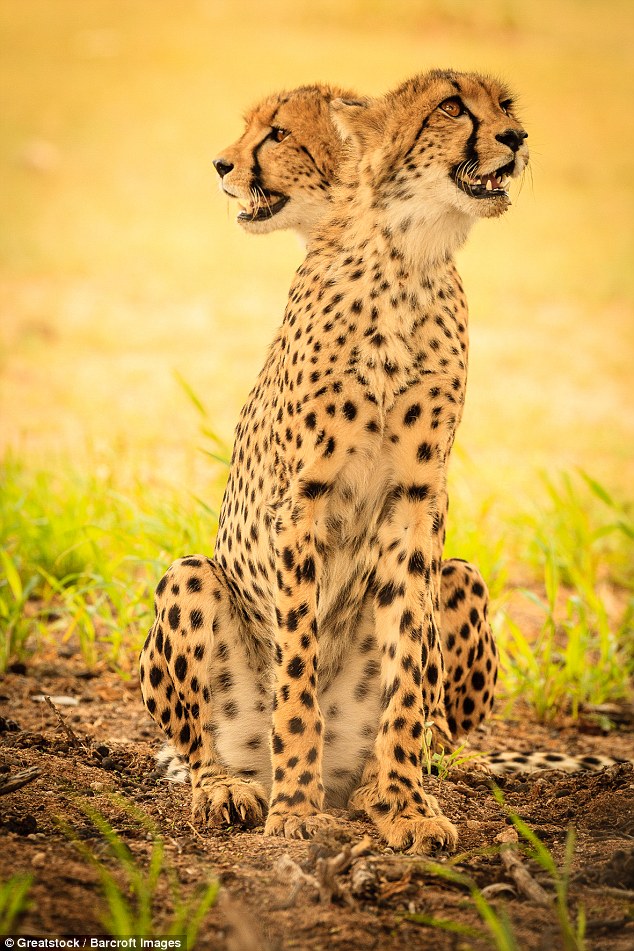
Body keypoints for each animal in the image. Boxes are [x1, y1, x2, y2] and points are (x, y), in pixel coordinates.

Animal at [139, 70, 528, 852]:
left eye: (503, 107)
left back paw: (381, 785)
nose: (516, 136)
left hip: (461, 576)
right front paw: (294, 810)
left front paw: (407, 806)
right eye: (452, 107)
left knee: (434, 717)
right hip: (192, 580)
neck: (406, 260)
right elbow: (296, 672)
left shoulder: (417, 500)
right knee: (198, 745)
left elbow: (409, 666)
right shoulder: (303, 499)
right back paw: (232, 789)